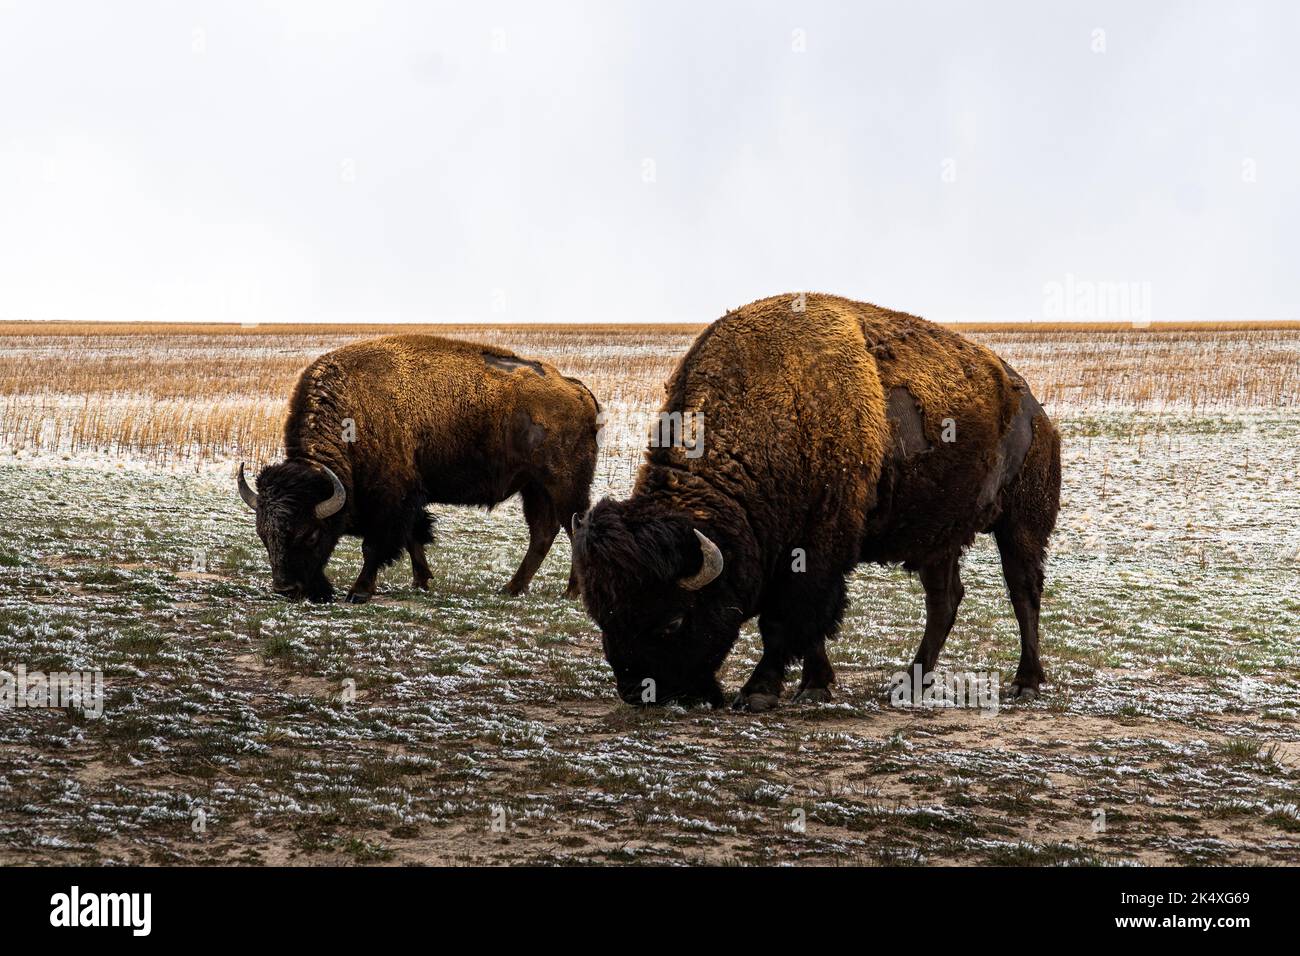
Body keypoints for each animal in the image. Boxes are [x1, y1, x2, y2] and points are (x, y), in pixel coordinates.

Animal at [237, 335, 598, 600]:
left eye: (310, 534)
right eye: (263, 535)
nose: (286, 589)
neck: (354, 411)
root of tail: (577, 389)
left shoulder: (392, 500)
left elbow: (376, 546)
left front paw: (359, 592)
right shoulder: (410, 500)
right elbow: (413, 538)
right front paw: (421, 581)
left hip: (563, 485)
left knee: (574, 526)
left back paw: (572, 593)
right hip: (534, 487)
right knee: (542, 533)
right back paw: (512, 588)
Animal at [574, 297, 1060, 712]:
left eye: (674, 621)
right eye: (602, 616)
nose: (639, 692)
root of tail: (1033, 407)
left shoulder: (815, 551)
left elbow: (787, 621)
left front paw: (761, 692)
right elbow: (808, 628)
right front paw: (814, 685)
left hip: (1021, 524)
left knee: (1023, 591)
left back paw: (1025, 683)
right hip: (939, 537)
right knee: (945, 600)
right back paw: (911, 684)